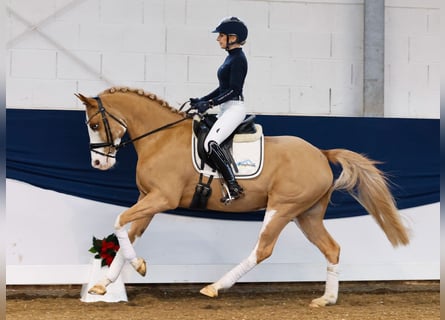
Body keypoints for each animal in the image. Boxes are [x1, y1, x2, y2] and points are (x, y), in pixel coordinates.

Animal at [76, 86, 410, 306]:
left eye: (95, 124)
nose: (99, 164)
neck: (160, 138)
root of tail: (320, 153)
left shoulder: (161, 198)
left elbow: (119, 221)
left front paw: (137, 266)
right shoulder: (148, 199)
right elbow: (127, 233)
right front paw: (103, 285)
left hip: (282, 208)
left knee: (263, 250)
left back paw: (214, 287)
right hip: (307, 214)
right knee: (332, 248)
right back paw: (326, 299)